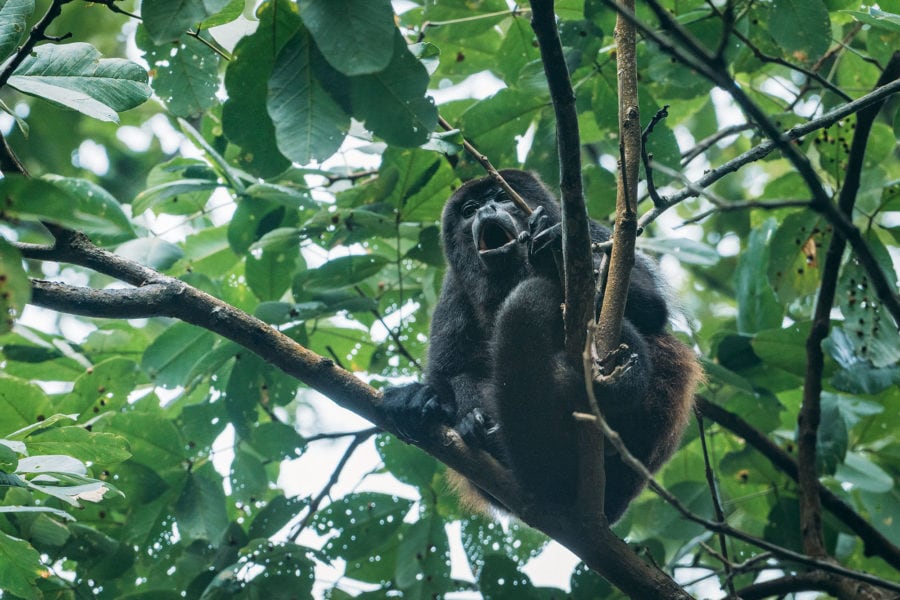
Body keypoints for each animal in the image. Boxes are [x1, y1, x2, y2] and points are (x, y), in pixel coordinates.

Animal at [381, 170, 702, 522]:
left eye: (501, 197)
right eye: (469, 210)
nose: (486, 209)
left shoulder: (594, 234)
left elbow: (653, 308)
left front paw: (553, 247)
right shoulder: (453, 287)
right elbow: (447, 370)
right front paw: (434, 403)